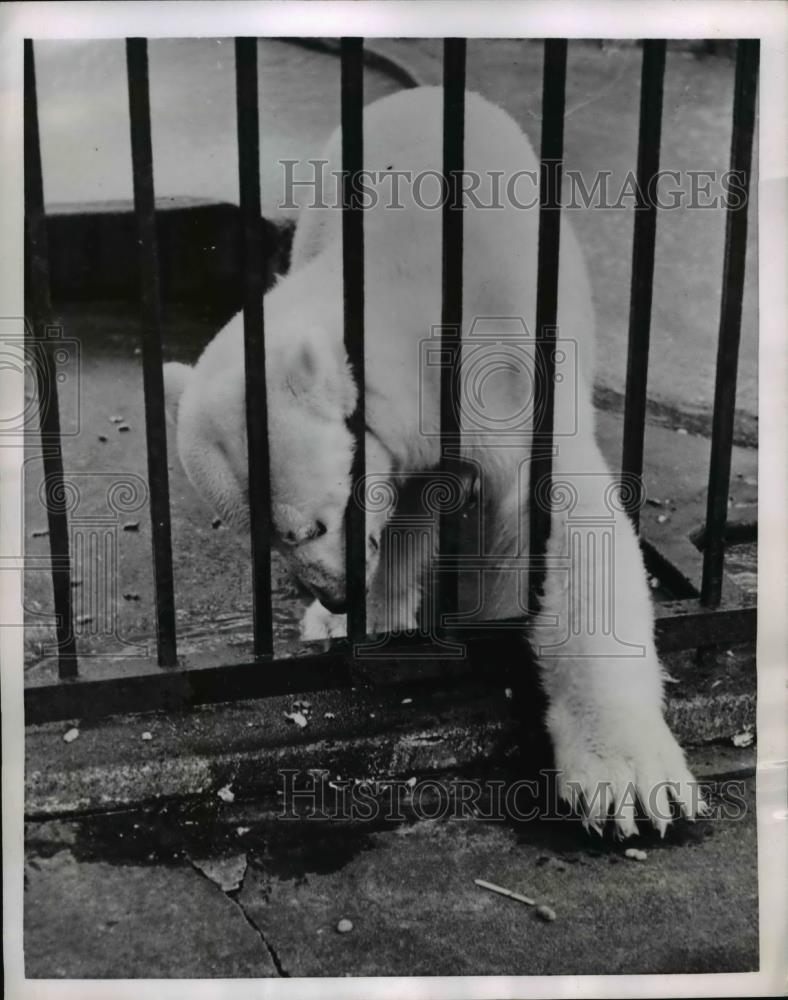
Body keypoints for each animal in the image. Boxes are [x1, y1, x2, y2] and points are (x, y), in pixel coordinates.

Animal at [168, 86, 700, 836]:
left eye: (311, 525)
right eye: (266, 536)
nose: (335, 593)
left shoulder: (508, 373)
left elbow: (563, 523)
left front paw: (628, 780)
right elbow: (406, 512)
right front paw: (365, 619)